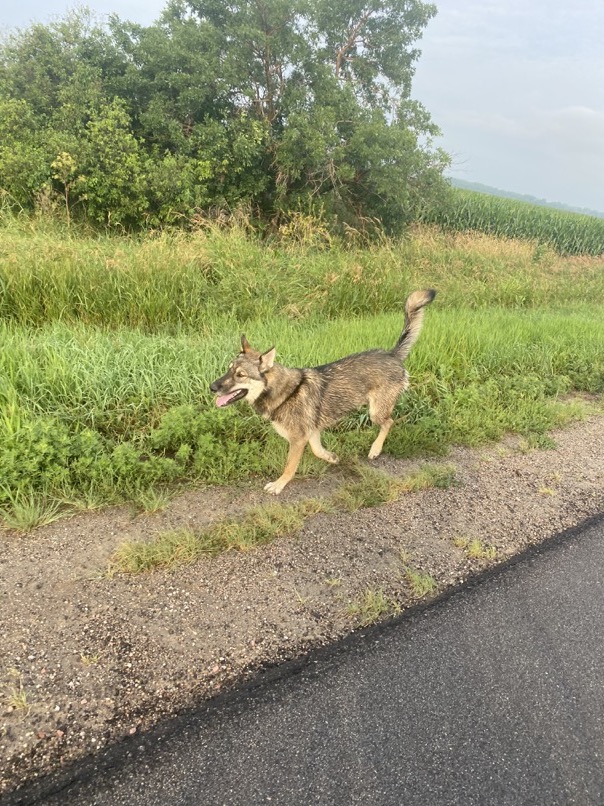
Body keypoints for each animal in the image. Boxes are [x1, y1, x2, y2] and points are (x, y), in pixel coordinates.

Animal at [210, 288, 436, 492]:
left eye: (240, 375)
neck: (285, 393)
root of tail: (391, 354)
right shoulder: (311, 433)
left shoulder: (297, 440)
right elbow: (318, 451)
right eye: (228, 370)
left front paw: (279, 485)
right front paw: (332, 457)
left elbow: (289, 467)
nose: (211, 387)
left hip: (376, 412)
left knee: (390, 422)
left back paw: (375, 449)